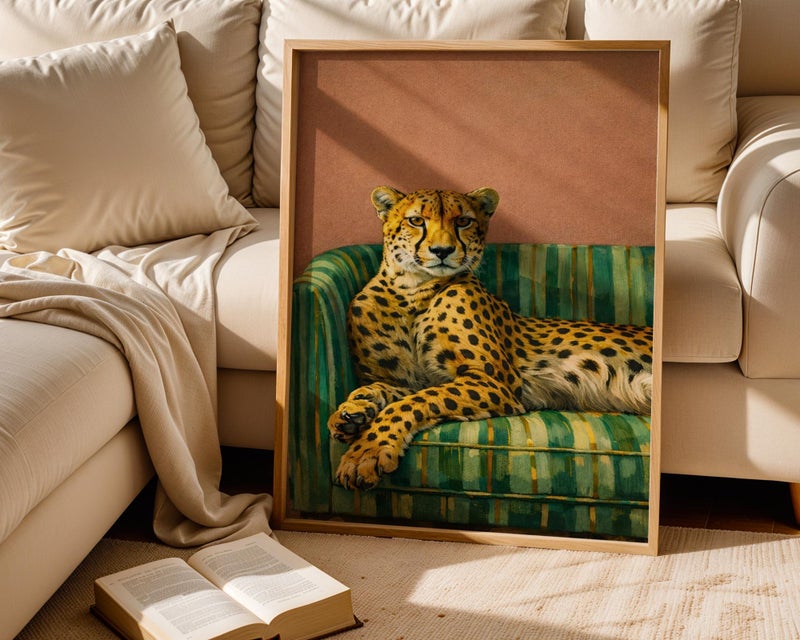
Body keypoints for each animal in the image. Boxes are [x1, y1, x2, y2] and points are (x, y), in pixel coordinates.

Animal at [328, 186, 652, 490]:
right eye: (416, 220)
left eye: (463, 221)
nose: (442, 250)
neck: (413, 289)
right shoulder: (412, 380)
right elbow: (386, 389)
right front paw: (352, 411)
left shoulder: (494, 382)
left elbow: (412, 403)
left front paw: (366, 453)